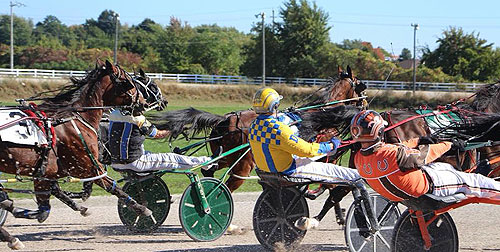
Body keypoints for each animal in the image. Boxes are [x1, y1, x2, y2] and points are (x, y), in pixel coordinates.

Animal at [0, 60, 154, 249]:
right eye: (129, 82)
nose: (143, 103)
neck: (75, 118)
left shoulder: (46, 173)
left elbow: (45, 206)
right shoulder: (87, 167)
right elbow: (112, 186)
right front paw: (143, 208)